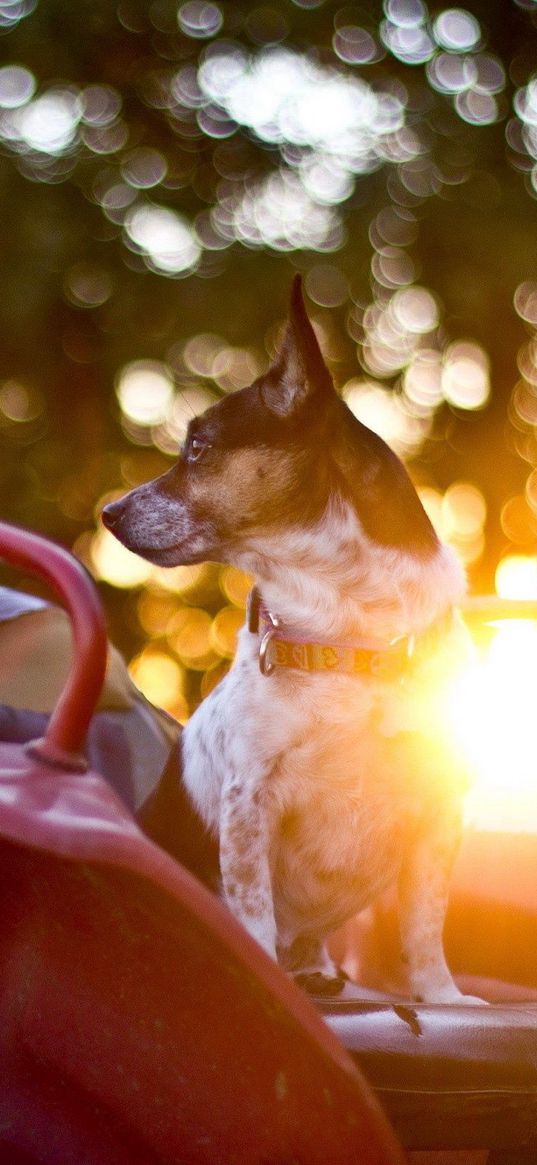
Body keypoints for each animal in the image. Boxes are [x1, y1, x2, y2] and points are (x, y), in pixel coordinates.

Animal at [102, 277, 479, 1006]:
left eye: (198, 448)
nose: (108, 512)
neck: (348, 634)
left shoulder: (438, 811)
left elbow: (424, 924)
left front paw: (442, 997)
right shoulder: (249, 802)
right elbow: (253, 916)